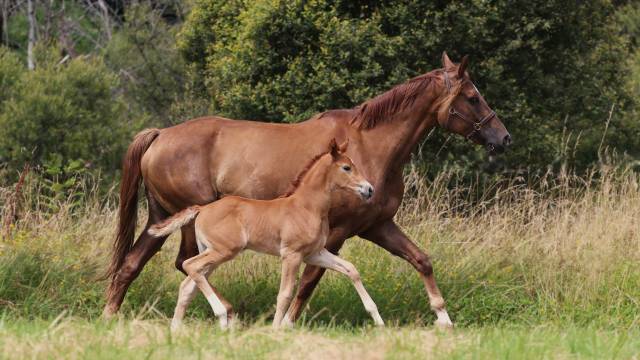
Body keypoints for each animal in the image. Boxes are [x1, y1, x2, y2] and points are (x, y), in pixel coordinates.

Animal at [148, 140, 382, 330]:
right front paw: (276, 330)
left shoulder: (314, 253)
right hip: (224, 251)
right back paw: (221, 316)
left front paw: (377, 320)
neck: (307, 207)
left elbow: (351, 270)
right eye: (346, 167)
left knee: (188, 283)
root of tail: (202, 209)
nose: (369, 189)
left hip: (212, 253)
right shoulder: (292, 254)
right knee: (190, 265)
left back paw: (176, 330)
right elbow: (285, 293)